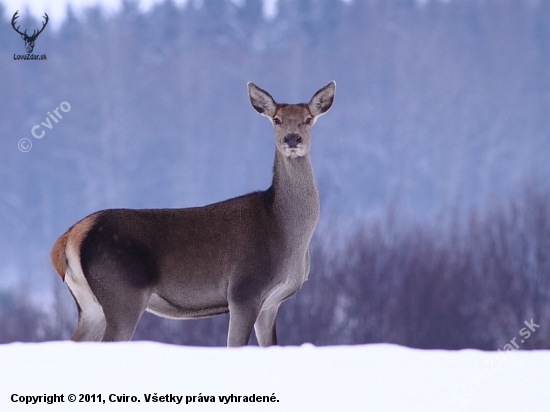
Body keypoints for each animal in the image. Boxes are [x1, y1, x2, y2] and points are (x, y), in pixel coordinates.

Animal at [50, 82, 336, 346]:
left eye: (308, 119)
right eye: (276, 119)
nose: (292, 138)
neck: (286, 235)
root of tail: (69, 238)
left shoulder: (272, 303)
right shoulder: (245, 291)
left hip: (90, 305)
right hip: (123, 293)